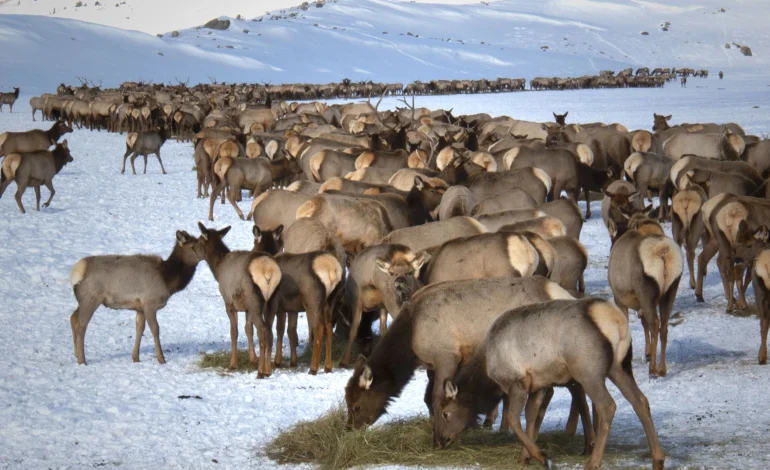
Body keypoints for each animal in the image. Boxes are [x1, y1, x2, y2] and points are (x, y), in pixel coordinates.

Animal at [68, 230, 202, 364]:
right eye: (192, 246)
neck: (167, 280)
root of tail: (75, 273)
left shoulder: (140, 308)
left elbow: (140, 329)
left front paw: (136, 358)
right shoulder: (149, 303)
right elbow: (155, 329)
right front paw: (161, 359)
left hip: (83, 300)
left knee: (73, 318)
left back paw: (76, 354)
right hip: (91, 298)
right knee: (81, 325)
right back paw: (82, 360)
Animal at [436, 298, 664, 470]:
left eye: (445, 413)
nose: (440, 441)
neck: (486, 371)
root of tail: (614, 319)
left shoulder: (516, 382)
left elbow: (513, 419)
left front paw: (544, 458)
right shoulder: (539, 384)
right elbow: (532, 415)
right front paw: (525, 457)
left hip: (588, 370)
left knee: (607, 405)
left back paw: (593, 462)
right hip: (620, 366)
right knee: (640, 400)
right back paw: (658, 458)